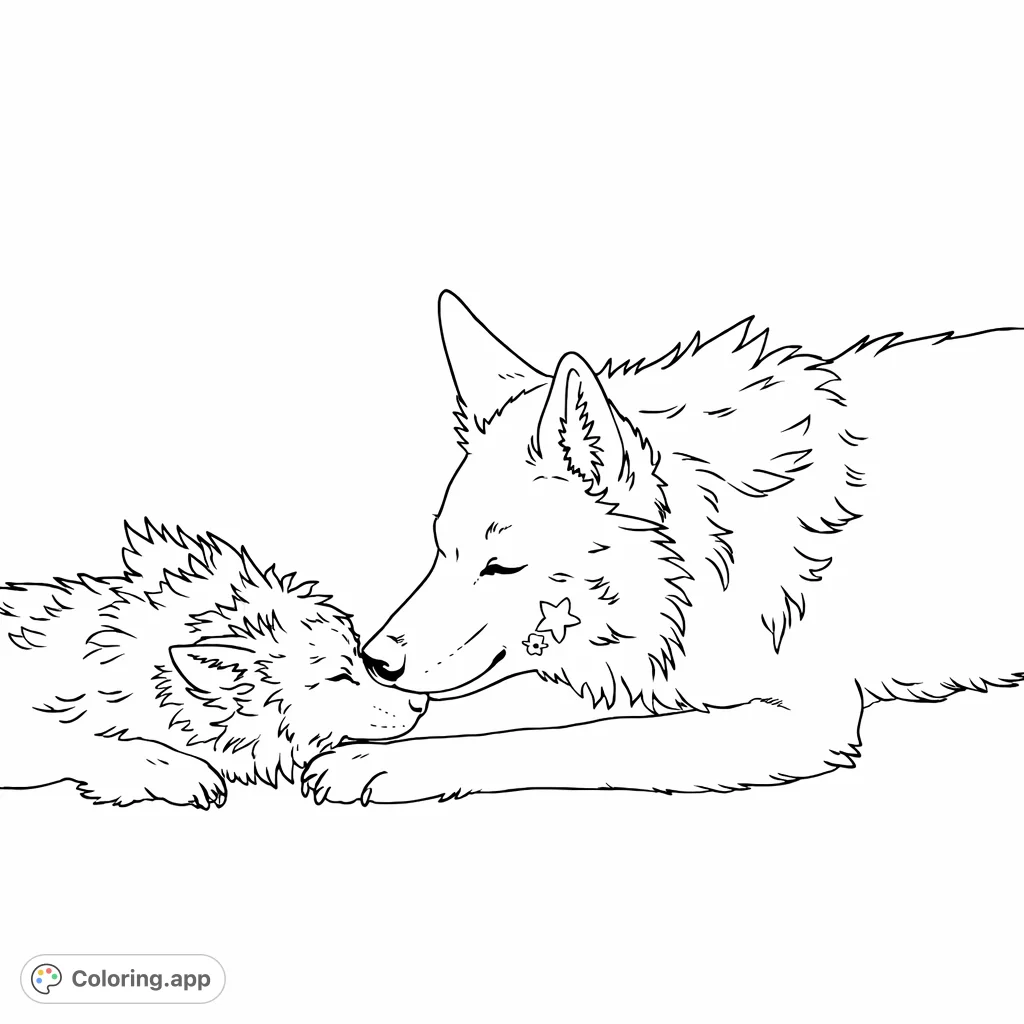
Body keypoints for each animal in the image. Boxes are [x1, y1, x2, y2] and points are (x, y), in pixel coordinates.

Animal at [301, 292, 1023, 804]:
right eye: (439, 550)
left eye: (501, 565)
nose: (375, 660)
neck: (728, 539)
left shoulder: (800, 717)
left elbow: (570, 739)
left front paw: (381, 760)